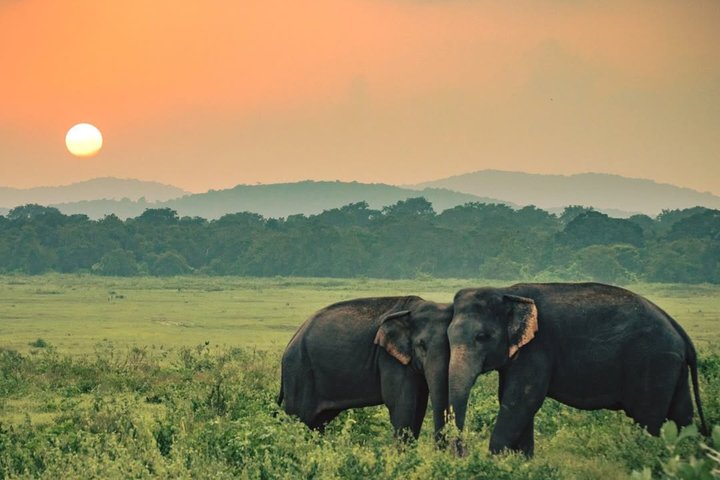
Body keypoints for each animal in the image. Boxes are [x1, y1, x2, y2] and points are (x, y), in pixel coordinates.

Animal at [278, 296, 452, 441]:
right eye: (421, 346)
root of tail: (292, 340)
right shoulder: (389, 358)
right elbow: (402, 404)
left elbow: (419, 405)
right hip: (298, 372)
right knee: (299, 418)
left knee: (317, 423)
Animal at [447, 282, 708, 457]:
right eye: (447, 336)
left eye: (482, 337)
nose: (463, 453)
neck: (506, 291)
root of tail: (679, 330)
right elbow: (515, 401)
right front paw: (522, 462)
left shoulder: (538, 348)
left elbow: (521, 401)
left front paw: (495, 461)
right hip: (672, 366)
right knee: (681, 414)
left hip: (654, 363)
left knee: (648, 418)